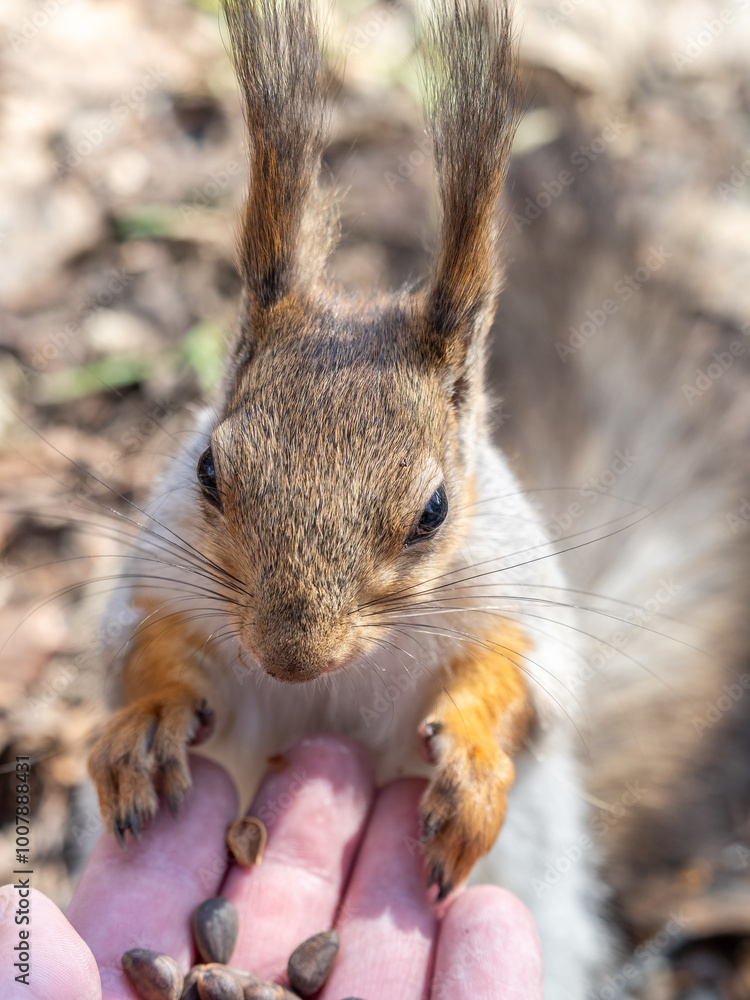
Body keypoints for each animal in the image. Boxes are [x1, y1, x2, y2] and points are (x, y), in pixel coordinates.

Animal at [89, 0, 612, 988]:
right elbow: (148, 641)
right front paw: (148, 721)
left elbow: (521, 678)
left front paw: (471, 762)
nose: (292, 658)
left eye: (434, 512)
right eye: (209, 470)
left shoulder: (509, 587)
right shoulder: (163, 565)